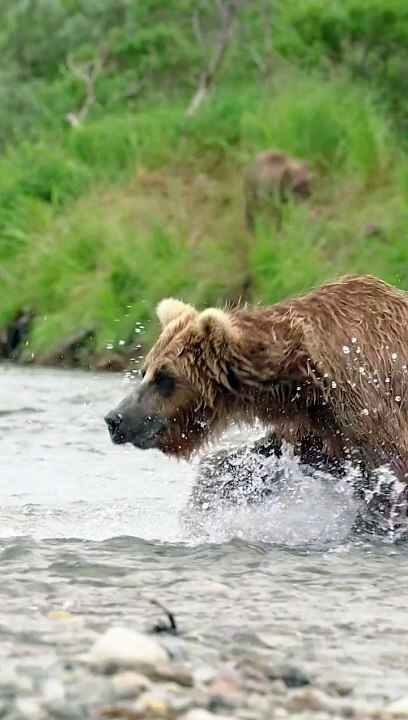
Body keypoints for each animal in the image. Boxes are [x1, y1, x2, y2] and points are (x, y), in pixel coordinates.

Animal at [105, 274, 408, 524]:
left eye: (164, 377)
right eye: (144, 371)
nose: (114, 419)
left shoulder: (361, 392)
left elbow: (391, 469)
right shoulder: (317, 421)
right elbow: (271, 453)